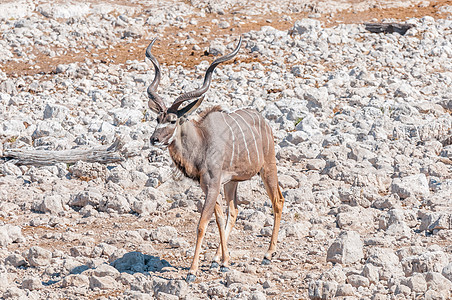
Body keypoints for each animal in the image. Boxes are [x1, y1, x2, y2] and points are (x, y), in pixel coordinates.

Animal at [146, 37, 286, 282]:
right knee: (234, 211)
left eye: (173, 120)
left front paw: (192, 271)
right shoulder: (209, 185)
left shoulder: (212, 185)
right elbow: (219, 217)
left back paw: (268, 254)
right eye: (157, 118)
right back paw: (217, 259)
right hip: (232, 183)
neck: (202, 140)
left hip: (268, 168)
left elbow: (202, 224)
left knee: (277, 201)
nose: (154, 139)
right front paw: (223, 262)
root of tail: (263, 121)